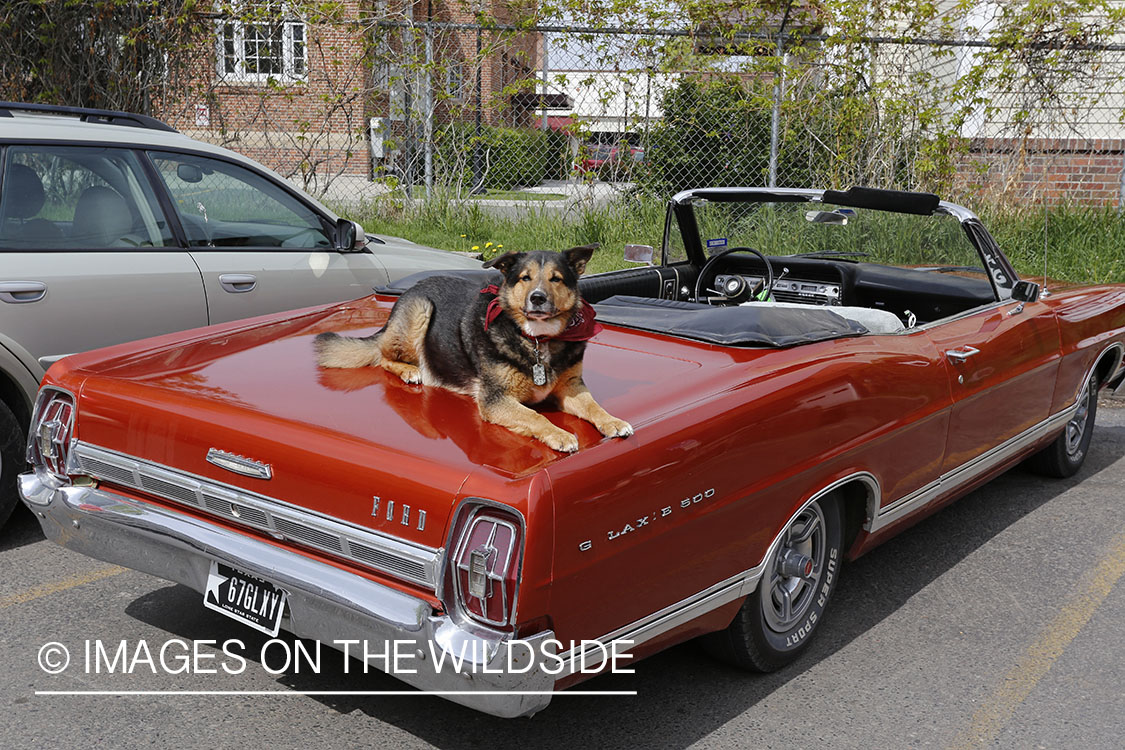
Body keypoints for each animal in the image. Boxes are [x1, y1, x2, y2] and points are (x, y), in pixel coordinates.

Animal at [317, 245, 634, 452]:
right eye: (525, 277)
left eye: (556, 278)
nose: (538, 298)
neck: (536, 340)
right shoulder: (495, 400)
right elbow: (535, 415)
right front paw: (559, 434)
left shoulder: (571, 388)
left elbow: (594, 406)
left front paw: (613, 421)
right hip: (421, 308)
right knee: (384, 357)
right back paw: (410, 371)